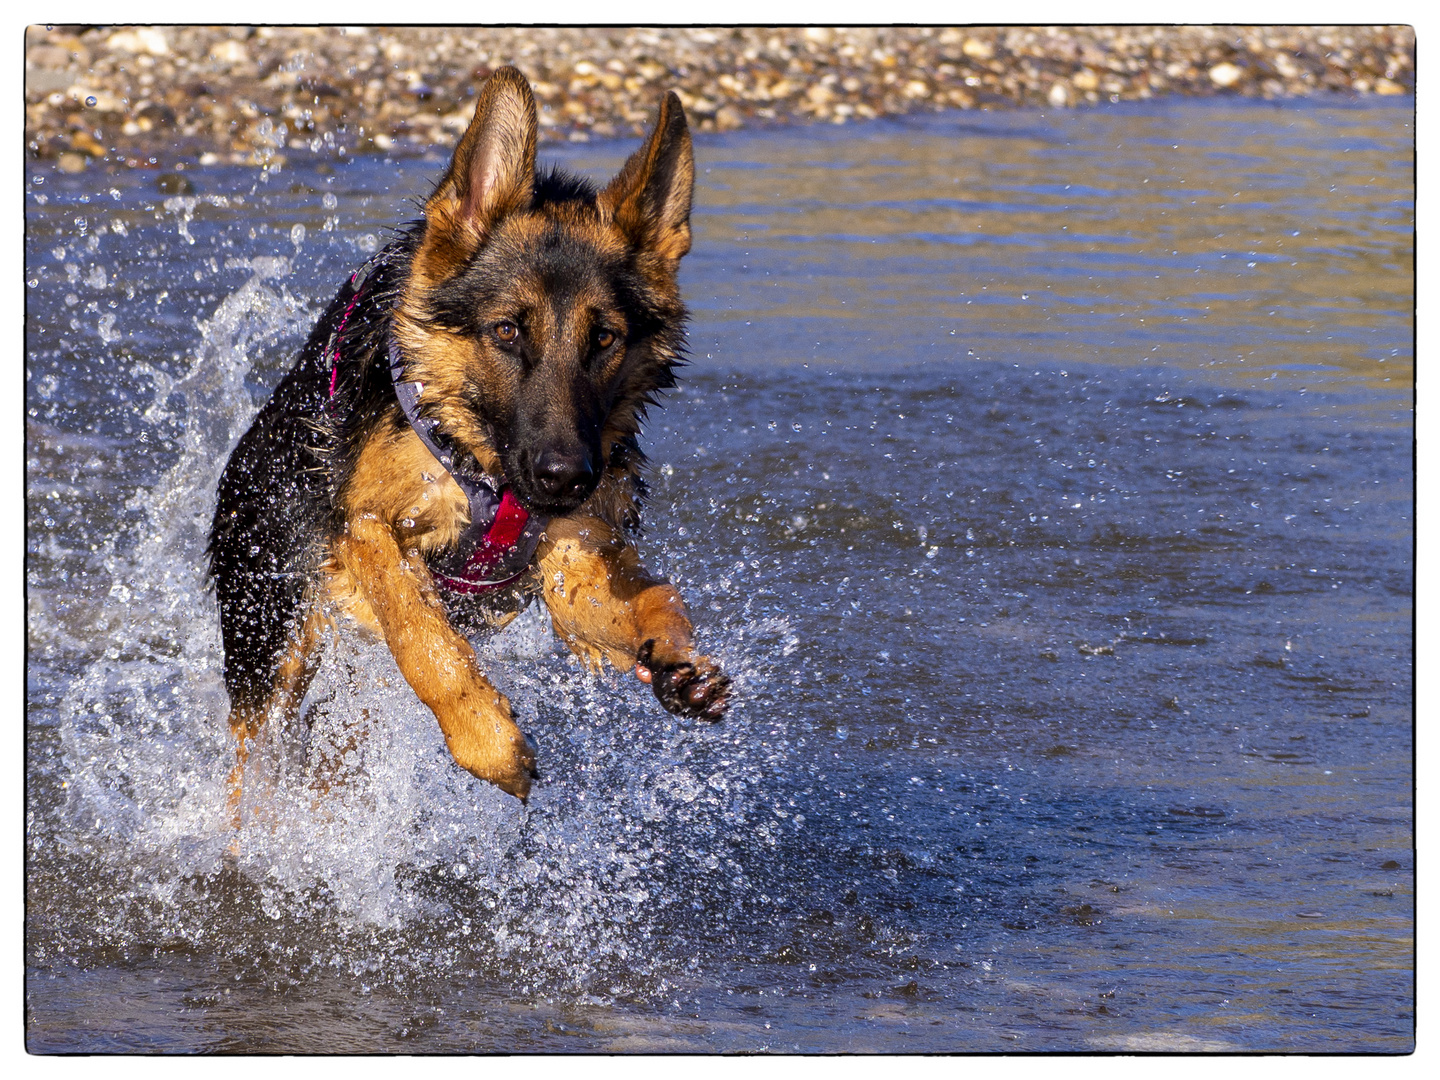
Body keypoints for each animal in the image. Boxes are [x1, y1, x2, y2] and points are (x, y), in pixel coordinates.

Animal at [205, 67, 731, 817]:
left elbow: (646, 599)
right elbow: (422, 636)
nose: (566, 477)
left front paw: (678, 660)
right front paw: (488, 738)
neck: (480, 459)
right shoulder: (362, 527)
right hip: (270, 647)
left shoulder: (572, 556)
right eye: (507, 331)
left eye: (605, 338)